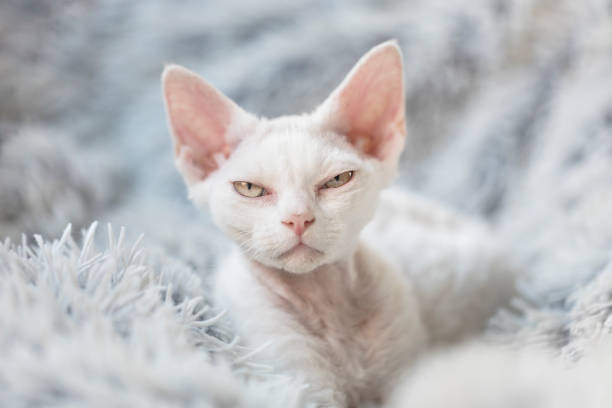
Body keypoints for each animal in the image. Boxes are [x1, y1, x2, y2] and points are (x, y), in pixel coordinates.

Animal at [160, 42, 512, 408]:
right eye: (250, 188)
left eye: (337, 180)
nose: (298, 218)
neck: (327, 304)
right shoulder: (291, 376)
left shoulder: (402, 366)